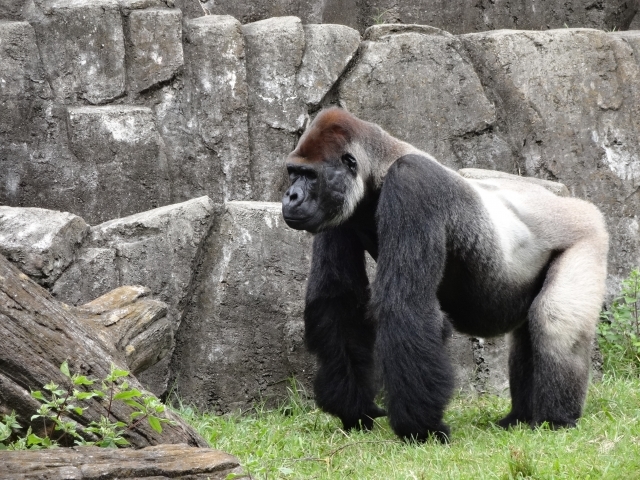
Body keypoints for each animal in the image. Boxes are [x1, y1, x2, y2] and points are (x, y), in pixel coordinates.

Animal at [282, 107, 608, 440]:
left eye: (310, 175)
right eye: (293, 172)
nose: (291, 196)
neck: (381, 167)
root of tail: (576, 203)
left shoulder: (412, 182)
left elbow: (405, 305)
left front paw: (420, 429)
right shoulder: (339, 210)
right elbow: (338, 303)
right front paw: (356, 410)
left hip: (588, 234)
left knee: (555, 318)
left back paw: (555, 420)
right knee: (531, 329)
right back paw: (520, 418)